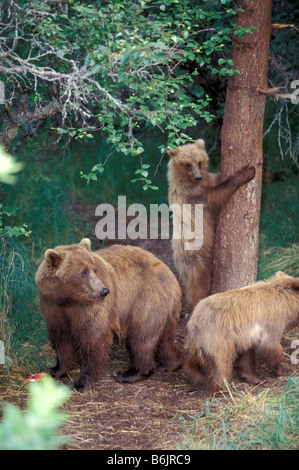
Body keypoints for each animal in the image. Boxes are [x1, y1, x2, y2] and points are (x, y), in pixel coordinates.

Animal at [35, 239, 183, 392]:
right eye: (83, 273)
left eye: (93, 270)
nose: (104, 291)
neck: (68, 299)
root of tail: (170, 274)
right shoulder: (52, 305)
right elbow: (61, 338)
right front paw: (54, 370)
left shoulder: (89, 309)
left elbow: (93, 337)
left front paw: (81, 383)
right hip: (164, 309)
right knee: (165, 339)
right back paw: (168, 364)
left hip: (145, 300)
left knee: (140, 337)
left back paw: (128, 373)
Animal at [169, 139, 255, 308]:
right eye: (187, 164)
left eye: (199, 162)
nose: (197, 177)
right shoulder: (195, 195)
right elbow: (217, 195)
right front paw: (244, 173)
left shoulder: (207, 181)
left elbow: (216, 180)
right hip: (194, 257)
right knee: (199, 282)